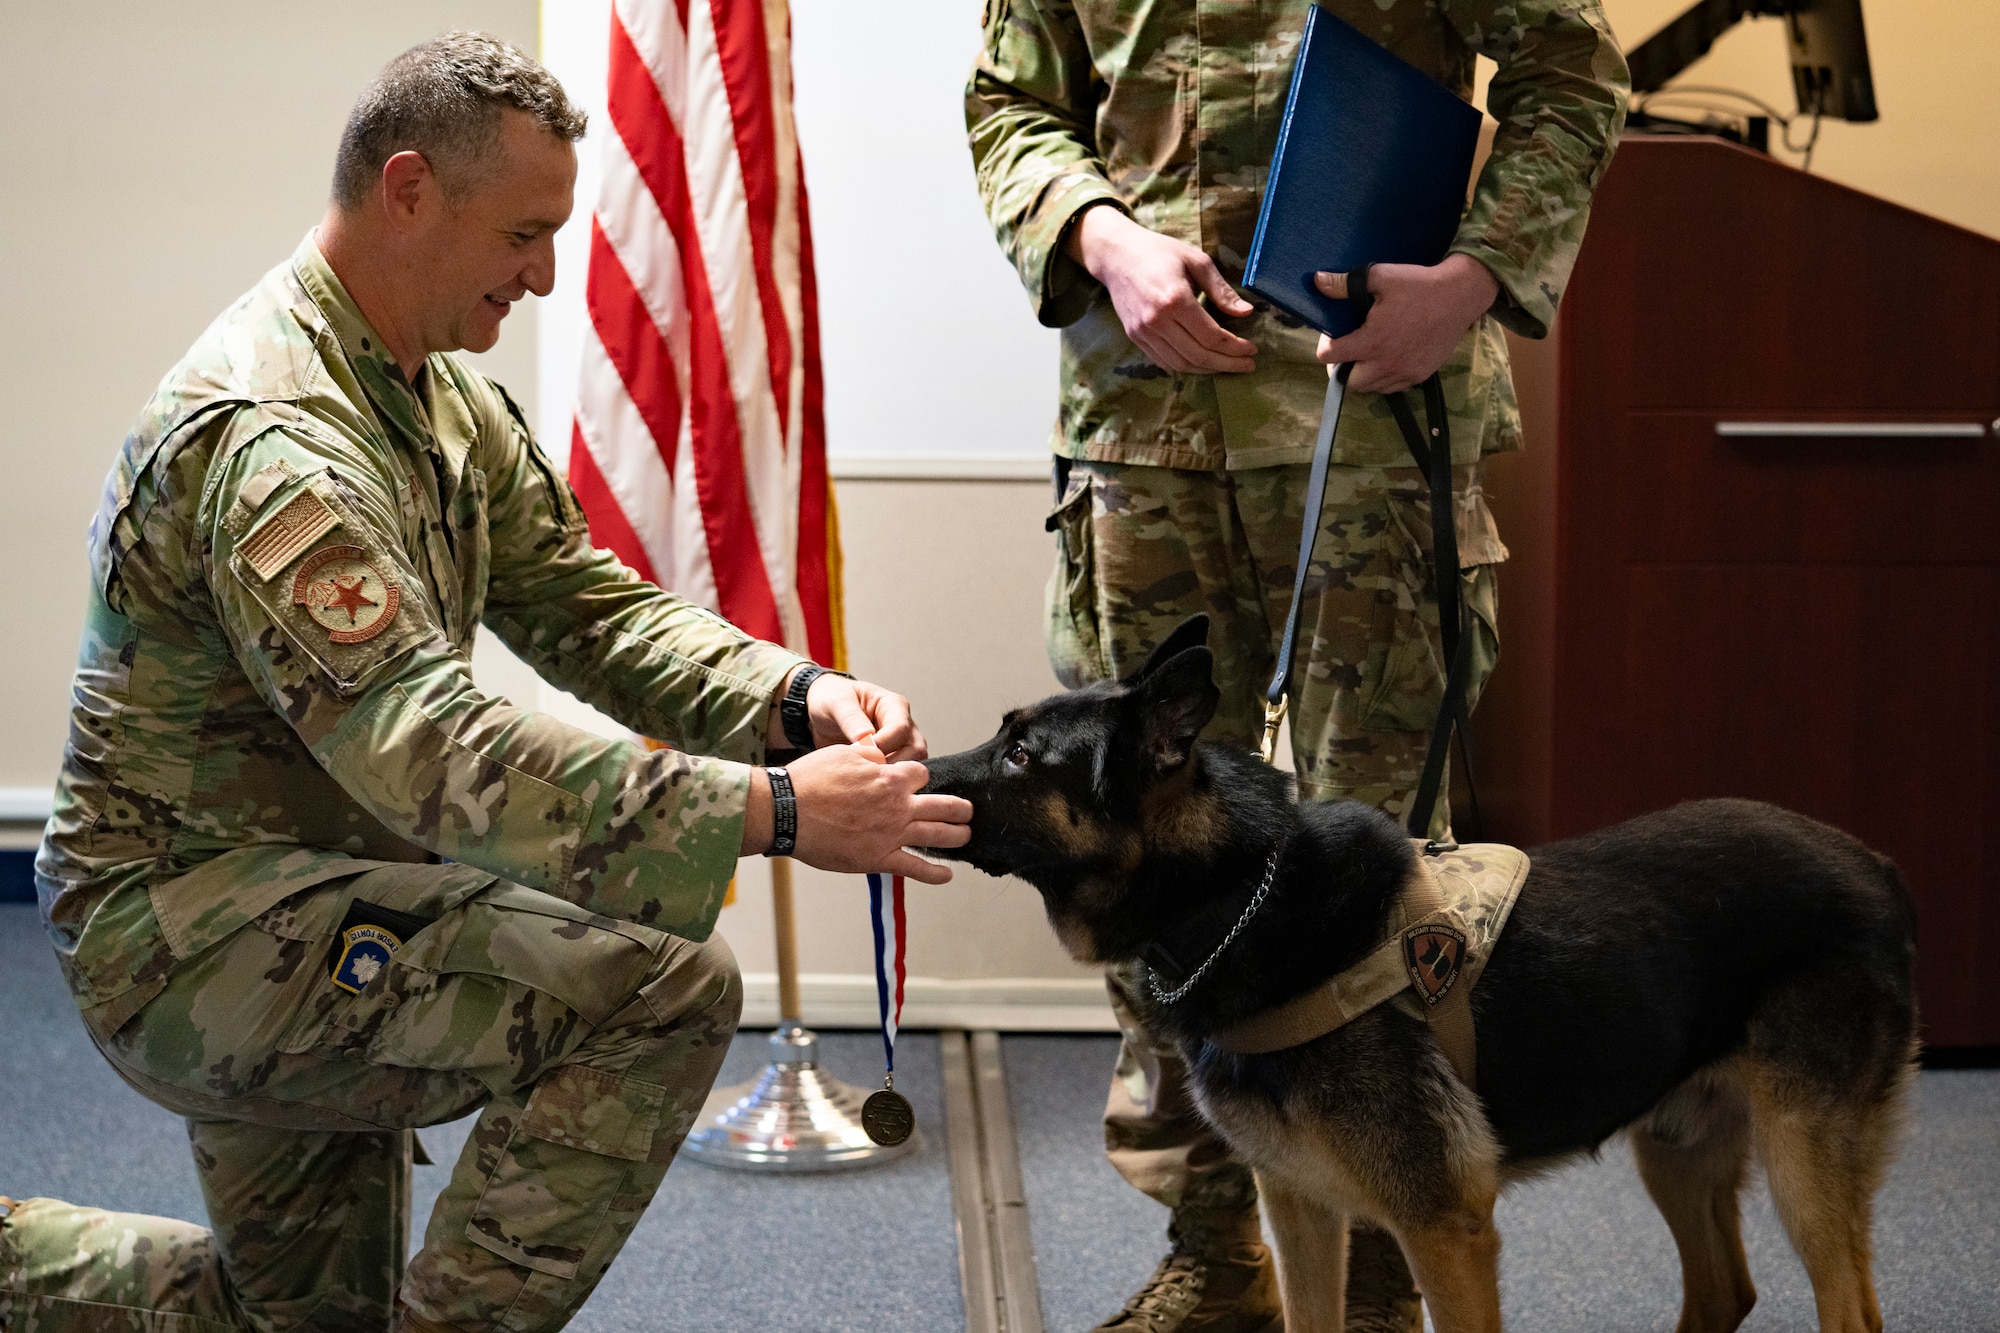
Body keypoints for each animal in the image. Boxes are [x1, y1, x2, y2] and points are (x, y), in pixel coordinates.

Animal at [920, 616, 1920, 1328]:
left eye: (1021, 753)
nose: (909, 766)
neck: (1240, 900)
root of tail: (1877, 864)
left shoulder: (1446, 1231)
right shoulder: (1300, 1209)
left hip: (1802, 1162)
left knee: (1849, 1311)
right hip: (1675, 1145)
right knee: (1723, 1293)